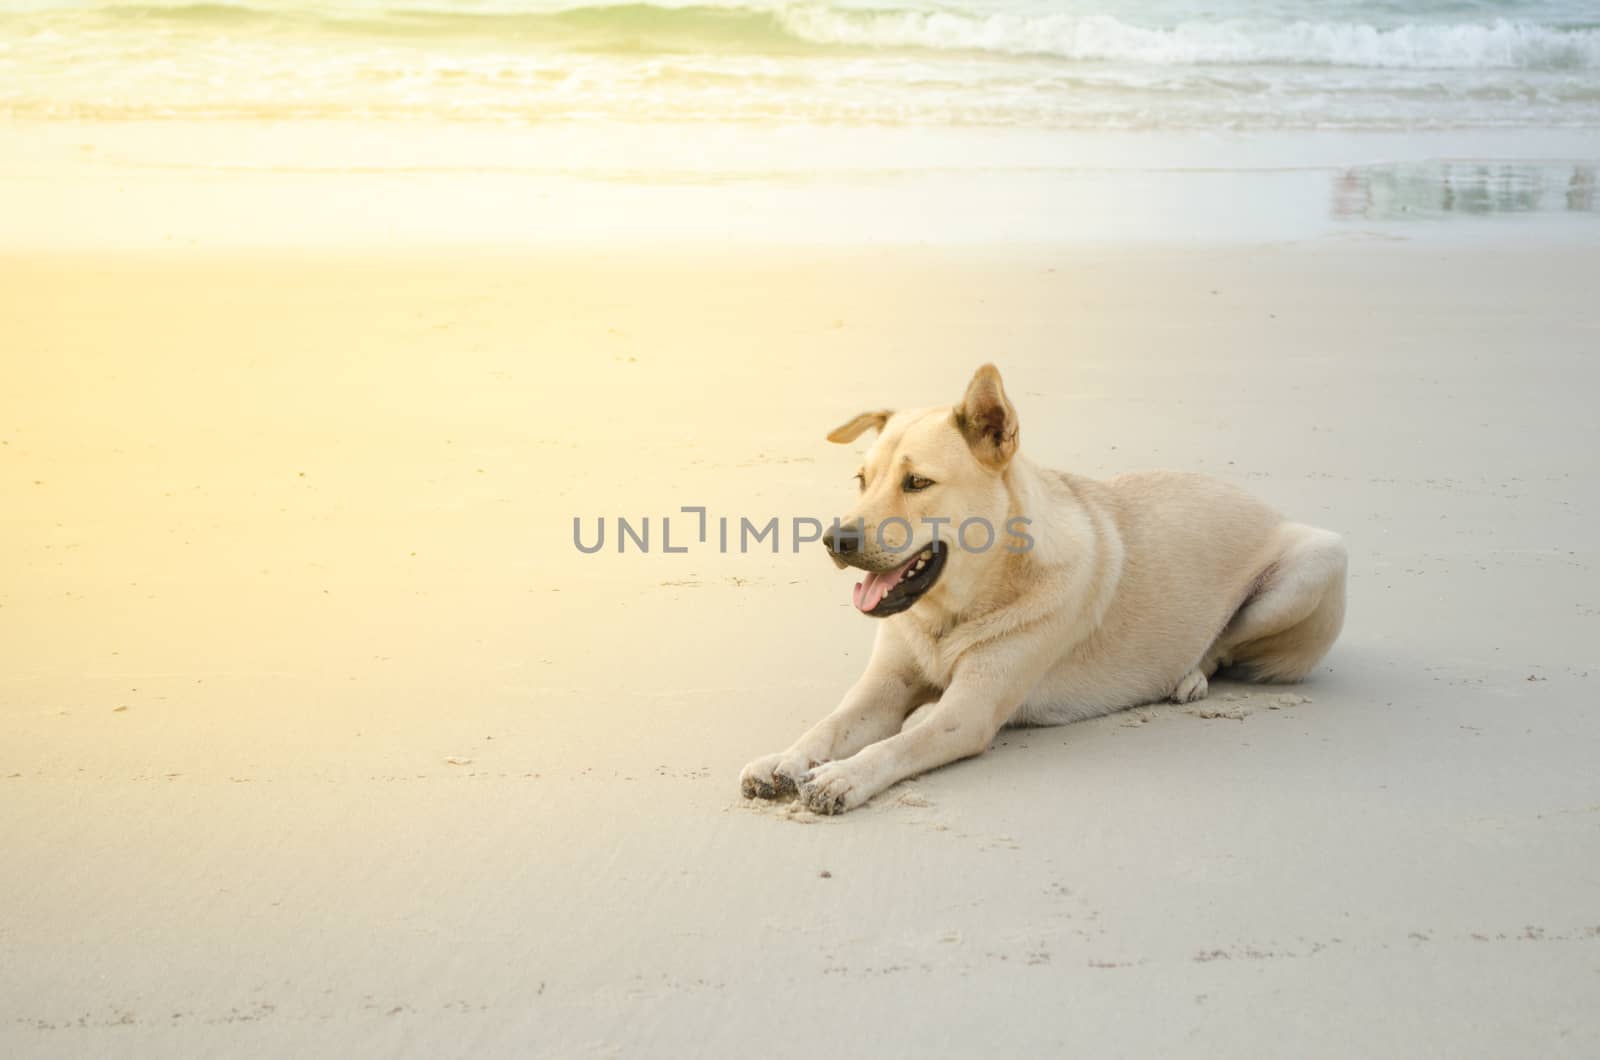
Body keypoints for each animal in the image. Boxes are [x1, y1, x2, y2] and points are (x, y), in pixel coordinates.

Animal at [742, 361, 1344, 816]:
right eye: (861, 481)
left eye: (917, 483)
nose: (834, 540)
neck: (952, 614)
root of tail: (1259, 500)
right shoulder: (881, 693)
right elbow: (827, 726)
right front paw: (783, 761)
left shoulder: (968, 711)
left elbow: (899, 741)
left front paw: (842, 777)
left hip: (1317, 561)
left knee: (1222, 648)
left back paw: (1189, 677)